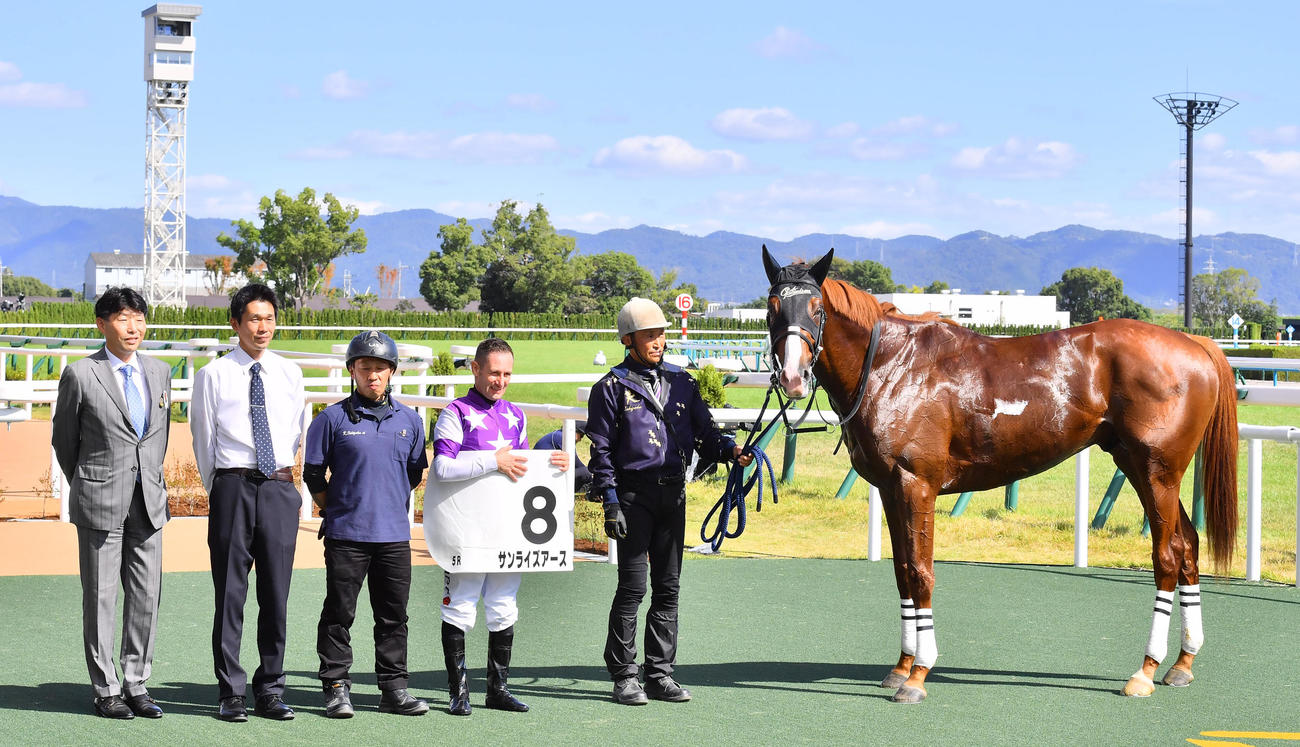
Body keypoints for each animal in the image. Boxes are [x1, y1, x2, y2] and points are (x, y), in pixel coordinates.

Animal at [761, 247, 1239, 704]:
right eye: (772, 307)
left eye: (817, 308)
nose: (793, 377)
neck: (891, 365)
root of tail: (1195, 342)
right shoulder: (891, 491)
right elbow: (902, 572)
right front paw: (901, 666)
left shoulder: (916, 486)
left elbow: (921, 573)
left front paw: (918, 675)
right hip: (1140, 468)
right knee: (1188, 546)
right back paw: (1182, 663)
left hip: (1157, 473)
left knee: (1167, 557)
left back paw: (1145, 671)